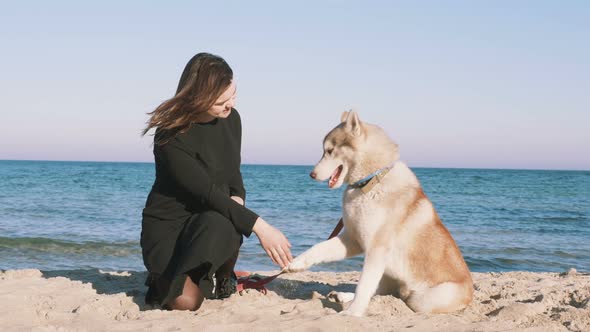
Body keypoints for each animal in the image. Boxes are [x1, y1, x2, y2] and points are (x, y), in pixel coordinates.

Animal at [284, 111, 474, 316]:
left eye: (329, 150)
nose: (311, 174)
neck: (370, 182)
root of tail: (470, 292)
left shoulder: (376, 249)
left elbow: (363, 286)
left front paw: (352, 313)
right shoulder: (352, 240)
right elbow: (320, 248)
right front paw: (297, 263)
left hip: (420, 298)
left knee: (395, 295)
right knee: (380, 292)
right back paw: (343, 296)